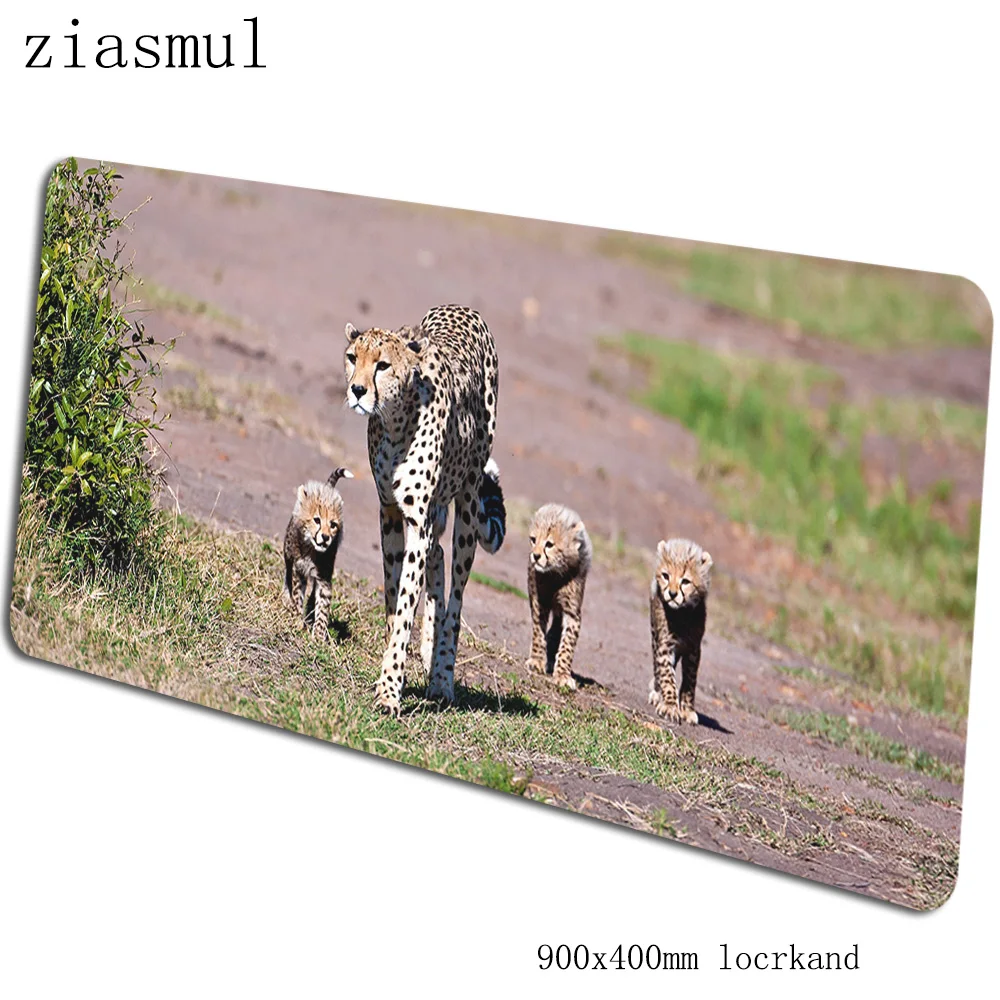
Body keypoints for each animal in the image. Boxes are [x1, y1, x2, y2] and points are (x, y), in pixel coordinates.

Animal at [283, 467, 354, 641]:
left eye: (333, 524)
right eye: (317, 520)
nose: (326, 537)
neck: (312, 550)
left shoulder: (324, 579)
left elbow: (323, 605)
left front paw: (319, 636)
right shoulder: (299, 571)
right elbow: (297, 595)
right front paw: (297, 620)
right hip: (288, 554)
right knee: (287, 576)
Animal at [344, 304, 505, 714]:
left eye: (382, 365)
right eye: (352, 358)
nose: (357, 390)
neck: (396, 420)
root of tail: (463, 307)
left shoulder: (417, 522)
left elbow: (406, 606)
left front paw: (389, 690)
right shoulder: (389, 512)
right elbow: (393, 597)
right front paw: (392, 668)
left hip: (467, 505)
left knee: (457, 594)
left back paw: (442, 677)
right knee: (438, 556)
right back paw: (430, 649)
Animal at [525, 503, 592, 689]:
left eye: (549, 544)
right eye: (533, 539)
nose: (535, 556)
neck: (555, 573)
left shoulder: (572, 611)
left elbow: (568, 643)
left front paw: (562, 674)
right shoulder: (539, 601)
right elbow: (538, 632)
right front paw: (537, 660)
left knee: (556, 627)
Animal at [648, 537, 713, 724]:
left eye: (685, 581)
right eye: (666, 576)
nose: (672, 593)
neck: (682, 613)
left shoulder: (694, 649)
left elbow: (690, 682)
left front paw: (687, 709)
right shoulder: (665, 646)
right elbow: (667, 677)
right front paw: (670, 706)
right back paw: (657, 694)